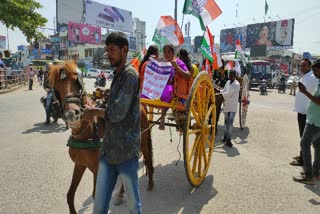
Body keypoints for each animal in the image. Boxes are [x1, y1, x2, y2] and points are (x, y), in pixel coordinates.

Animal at [49, 60, 155, 214]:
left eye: (77, 82)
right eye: (56, 88)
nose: (72, 114)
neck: (87, 132)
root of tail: (141, 104)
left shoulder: (97, 169)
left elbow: (96, 195)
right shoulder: (79, 165)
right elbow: (70, 195)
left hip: (143, 141)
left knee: (147, 157)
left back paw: (150, 182)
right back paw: (120, 194)